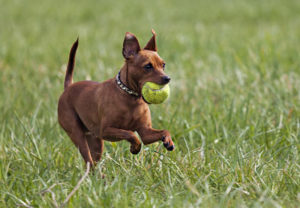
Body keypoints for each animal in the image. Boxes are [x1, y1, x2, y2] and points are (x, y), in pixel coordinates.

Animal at [57, 30, 175, 167]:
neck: (131, 97)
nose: (167, 78)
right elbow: (130, 133)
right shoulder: (106, 131)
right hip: (78, 135)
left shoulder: (145, 132)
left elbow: (164, 131)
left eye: (163, 65)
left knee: (93, 162)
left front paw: (168, 141)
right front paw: (135, 147)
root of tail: (68, 87)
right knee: (88, 160)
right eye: (148, 66)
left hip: (96, 142)